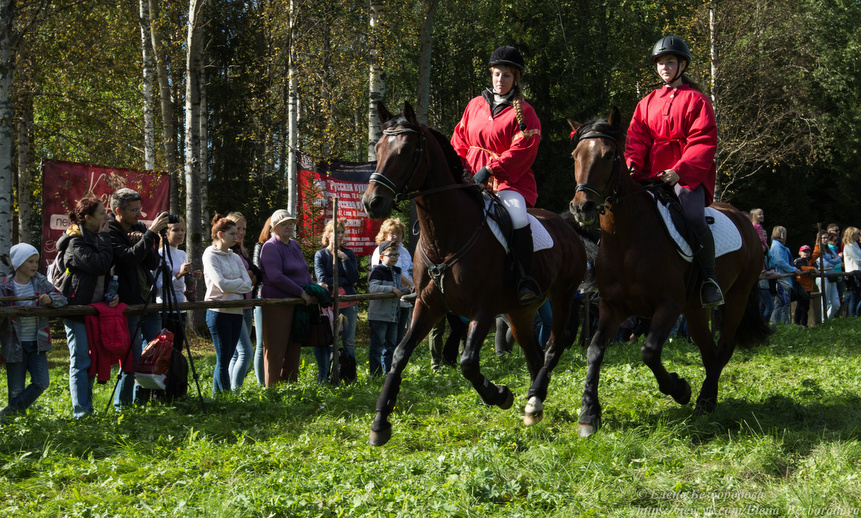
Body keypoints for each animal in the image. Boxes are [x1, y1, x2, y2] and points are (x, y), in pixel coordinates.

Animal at [360, 101, 588, 446]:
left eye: (406, 150)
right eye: (378, 148)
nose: (373, 202)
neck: (446, 236)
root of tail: (565, 224)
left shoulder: (483, 308)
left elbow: (467, 363)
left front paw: (500, 395)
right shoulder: (428, 306)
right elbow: (399, 354)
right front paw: (380, 421)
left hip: (561, 297)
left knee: (552, 346)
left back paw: (534, 399)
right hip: (520, 313)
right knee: (534, 355)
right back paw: (534, 404)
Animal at [568, 106, 768, 438]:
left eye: (609, 155)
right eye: (575, 155)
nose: (582, 207)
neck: (627, 240)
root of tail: (745, 220)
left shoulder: (668, 306)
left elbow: (649, 351)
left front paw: (679, 389)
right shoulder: (612, 307)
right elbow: (594, 351)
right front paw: (588, 414)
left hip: (736, 298)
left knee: (724, 347)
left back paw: (703, 399)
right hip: (696, 309)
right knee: (709, 350)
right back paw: (708, 400)